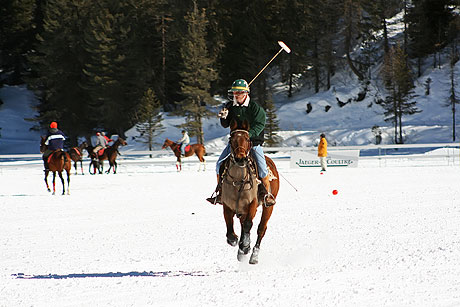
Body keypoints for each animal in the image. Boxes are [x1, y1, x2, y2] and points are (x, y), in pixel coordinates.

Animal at [220, 120, 280, 264]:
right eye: (231, 139)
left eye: (247, 139)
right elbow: (230, 230)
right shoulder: (227, 205)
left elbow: (248, 225)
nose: (240, 159)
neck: (238, 180)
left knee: (261, 229)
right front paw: (237, 242)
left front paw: (245, 247)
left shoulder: (252, 203)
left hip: (268, 206)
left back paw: (253, 256)